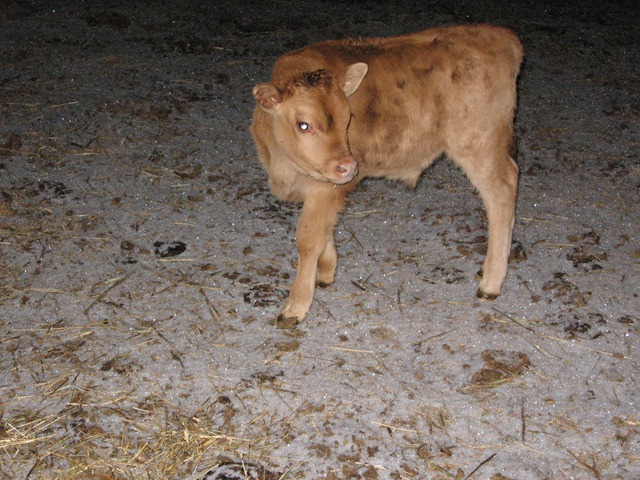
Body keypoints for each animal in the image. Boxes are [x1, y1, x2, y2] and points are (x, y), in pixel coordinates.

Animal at [250, 24, 524, 326]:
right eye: (303, 125)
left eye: (348, 118)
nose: (348, 166)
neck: (282, 166)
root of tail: (500, 35)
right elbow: (326, 227)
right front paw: (326, 271)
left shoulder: (324, 188)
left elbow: (308, 237)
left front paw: (295, 306)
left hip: (478, 144)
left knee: (502, 190)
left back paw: (491, 283)